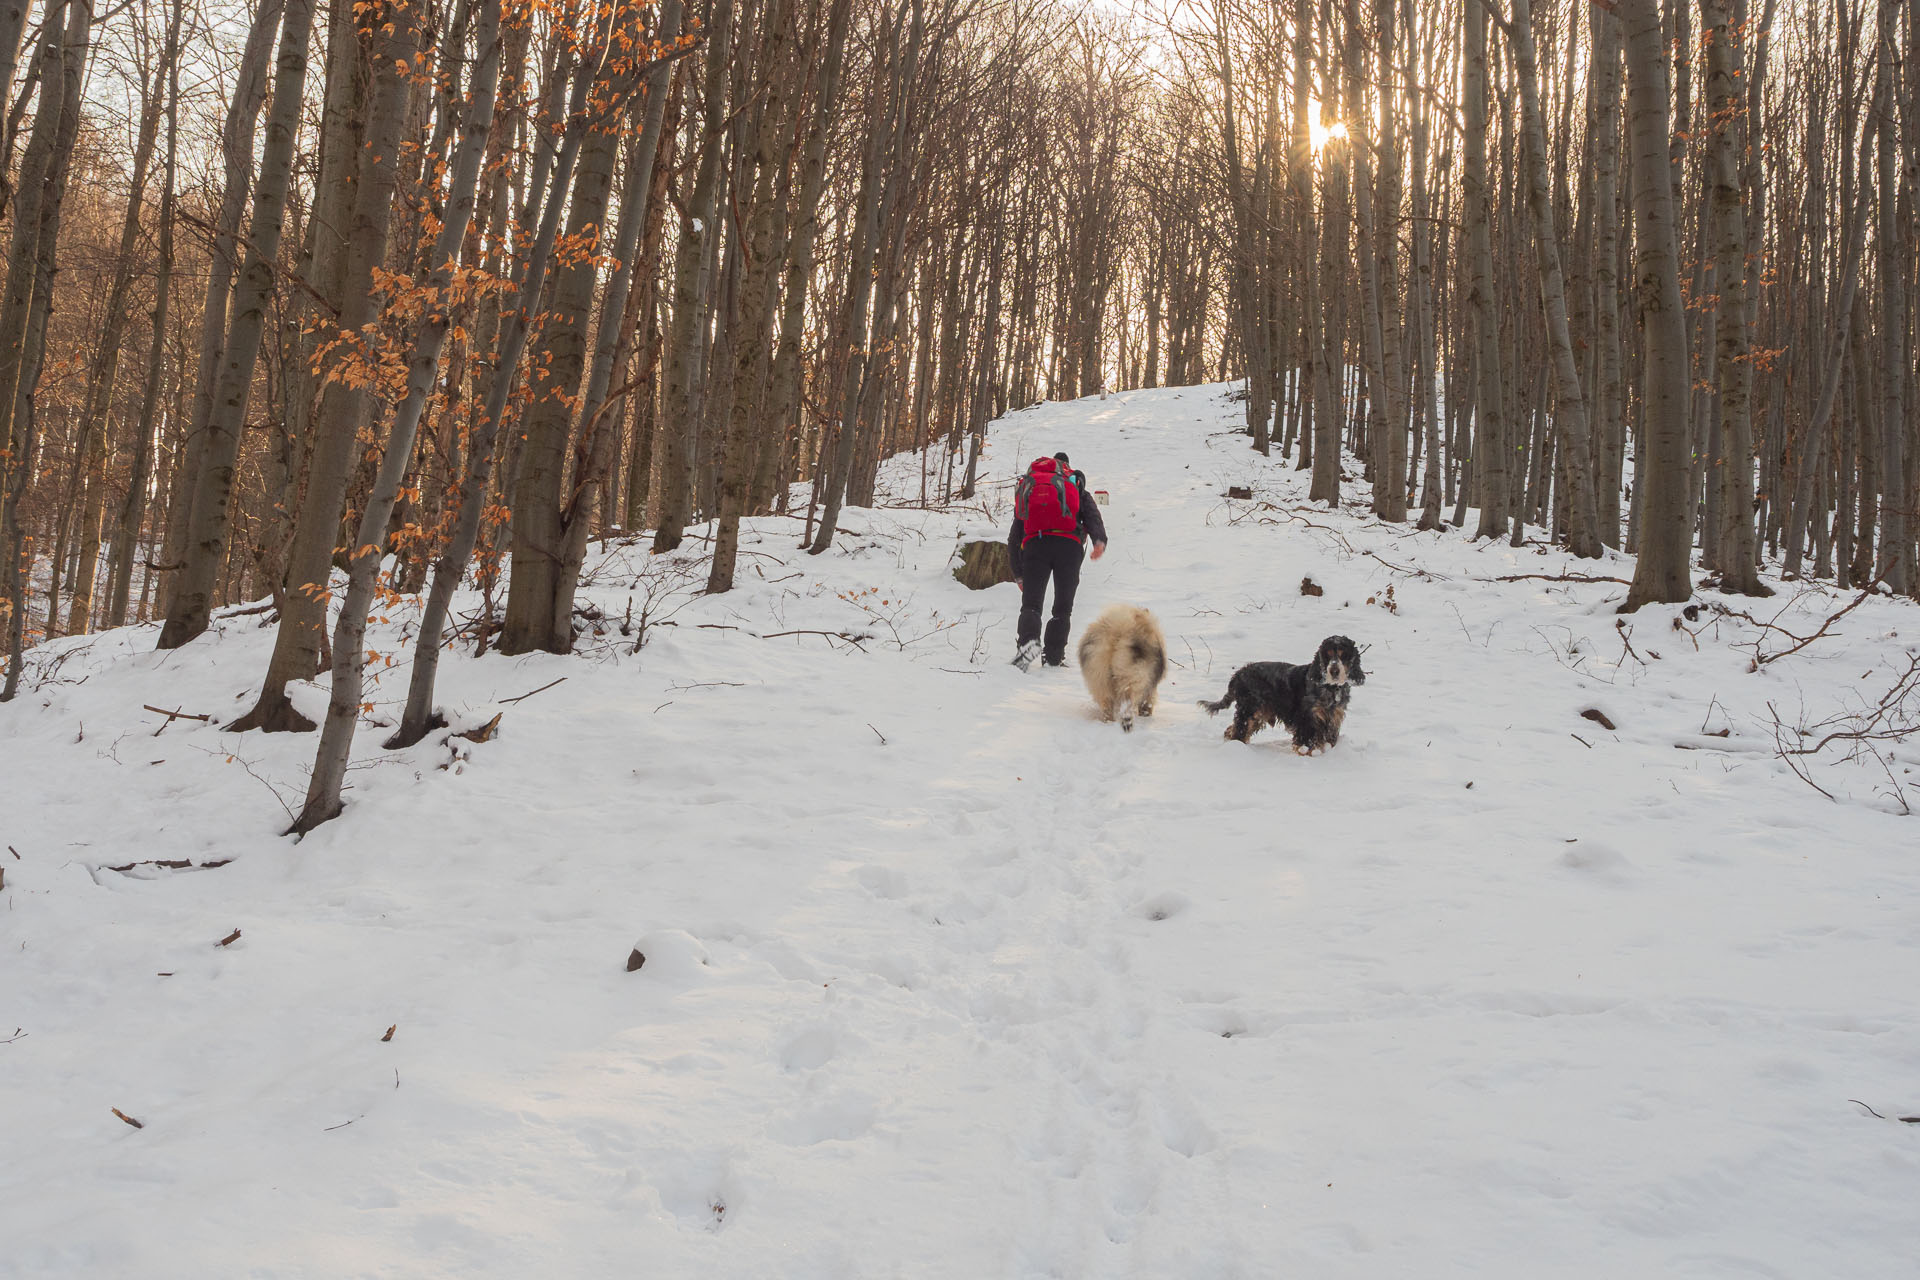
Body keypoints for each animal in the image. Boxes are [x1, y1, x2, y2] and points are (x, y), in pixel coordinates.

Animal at [1198, 637, 1367, 756]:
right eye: (1327, 655)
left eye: (1344, 655)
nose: (1334, 670)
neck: (1331, 688)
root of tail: (1238, 674)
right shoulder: (1307, 718)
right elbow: (1307, 742)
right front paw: (1309, 753)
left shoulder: (1333, 718)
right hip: (1250, 709)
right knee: (1238, 730)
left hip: (1258, 713)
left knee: (1232, 730)